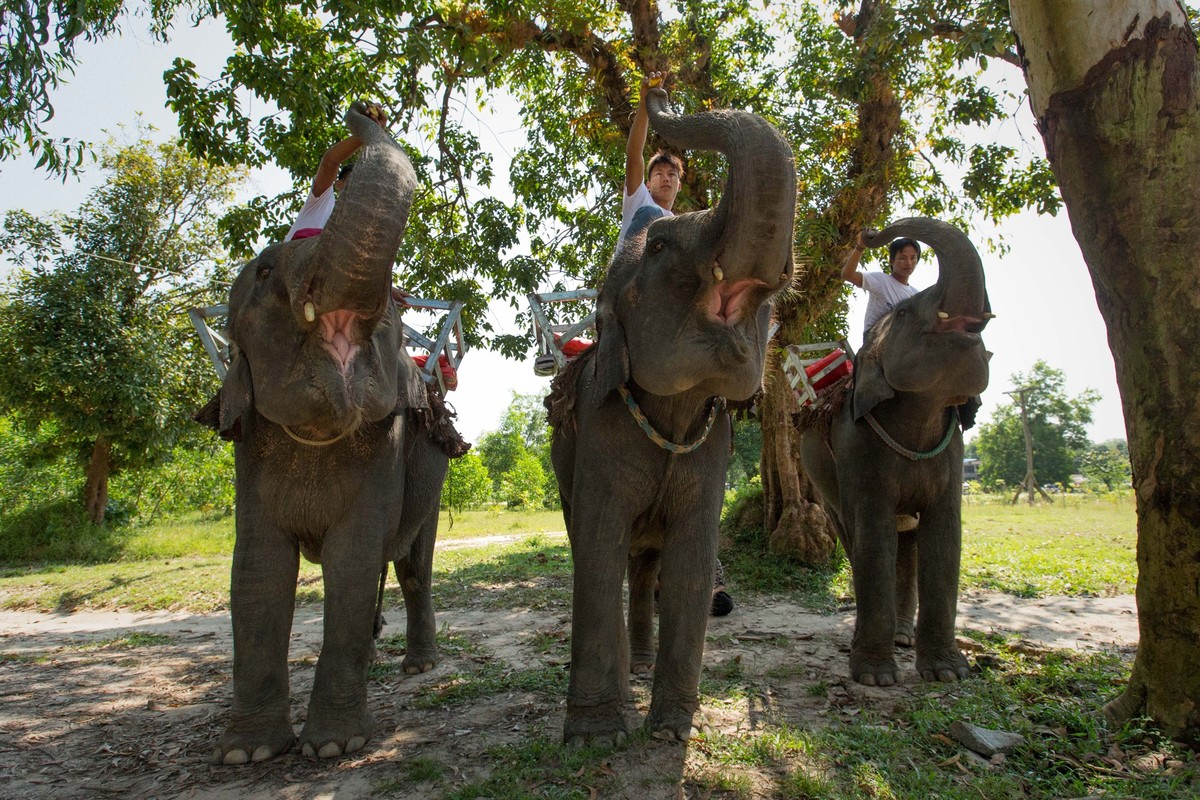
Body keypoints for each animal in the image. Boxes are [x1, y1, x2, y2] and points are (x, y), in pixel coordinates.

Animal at [196, 102, 468, 764]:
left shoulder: (385, 449)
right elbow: (258, 570)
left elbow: (352, 561)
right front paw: (247, 753)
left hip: (432, 479)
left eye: (391, 308)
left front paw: (335, 747)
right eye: (265, 271)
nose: (363, 110)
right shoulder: (250, 448)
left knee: (412, 564)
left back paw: (418, 667)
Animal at [545, 87, 796, 747]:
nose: (657, 89)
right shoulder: (600, 431)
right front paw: (597, 737)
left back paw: (639, 666)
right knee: (605, 553)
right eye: (658, 247)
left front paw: (673, 732)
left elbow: (691, 564)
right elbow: (597, 550)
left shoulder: (712, 446)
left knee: (647, 564)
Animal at [799, 217, 991, 687]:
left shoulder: (952, 449)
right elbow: (873, 536)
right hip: (821, 479)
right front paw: (874, 677)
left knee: (909, 544)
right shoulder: (856, 447)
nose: (871, 234)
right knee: (854, 538)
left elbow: (945, 537)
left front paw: (948, 673)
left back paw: (904, 639)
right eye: (903, 313)